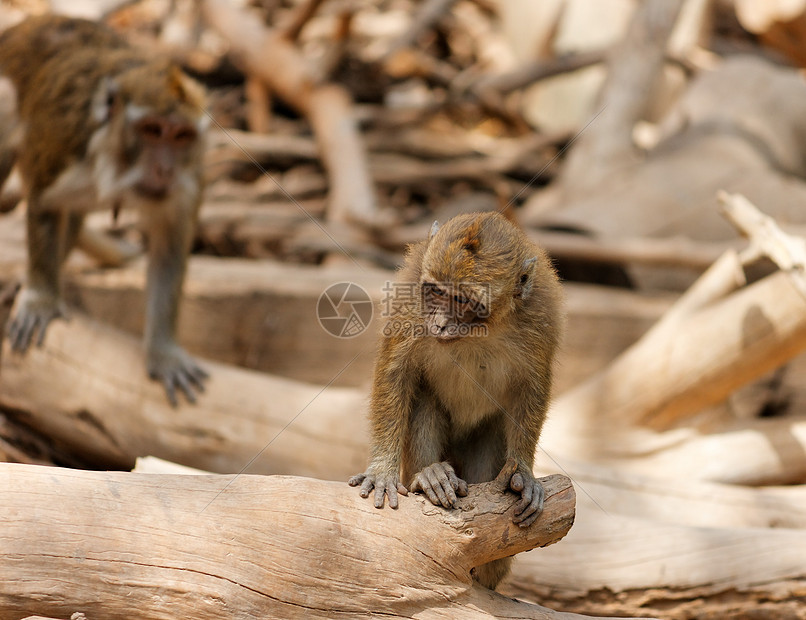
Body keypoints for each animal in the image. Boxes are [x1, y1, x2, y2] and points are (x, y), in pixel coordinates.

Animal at [0, 14, 211, 404]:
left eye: (181, 136)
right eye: (152, 130)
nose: (165, 170)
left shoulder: (189, 179)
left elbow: (170, 246)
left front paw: (164, 352)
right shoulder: (62, 140)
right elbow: (44, 201)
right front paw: (42, 298)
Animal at [350, 211, 564, 588]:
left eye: (464, 301)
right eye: (436, 292)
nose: (439, 324)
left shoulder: (540, 317)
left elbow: (533, 388)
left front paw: (524, 472)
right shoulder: (410, 301)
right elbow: (396, 373)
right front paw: (381, 471)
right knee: (424, 400)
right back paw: (430, 476)